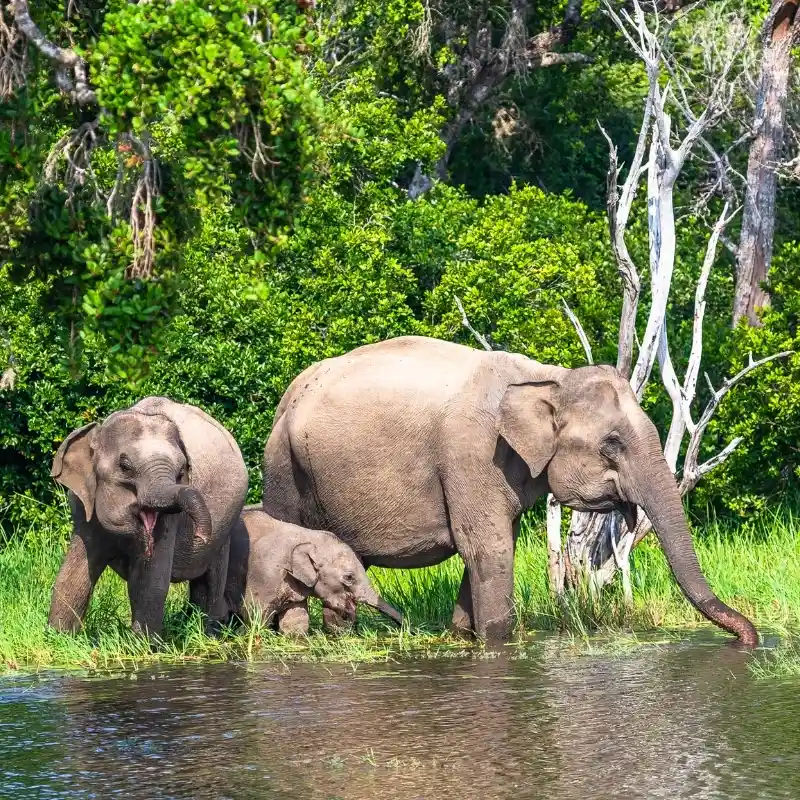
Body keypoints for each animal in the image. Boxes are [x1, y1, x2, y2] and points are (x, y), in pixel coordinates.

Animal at [48, 396, 249, 636]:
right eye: (125, 467)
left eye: (181, 471)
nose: (200, 535)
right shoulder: (83, 506)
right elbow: (74, 573)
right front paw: (59, 637)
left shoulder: (169, 521)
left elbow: (150, 582)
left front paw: (142, 643)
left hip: (226, 527)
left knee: (212, 576)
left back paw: (208, 631)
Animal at [224, 505, 403, 634]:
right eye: (349, 577)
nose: (404, 628)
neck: (307, 536)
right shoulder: (264, 574)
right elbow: (255, 615)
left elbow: (296, 620)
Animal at [261, 334, 759, 646]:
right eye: (612, 444)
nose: (750, 640)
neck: (548, 377)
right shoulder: (471, 456)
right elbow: (489, 548)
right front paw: (496, 645)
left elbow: (491, 549)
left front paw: (462, 637)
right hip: (283, 467)